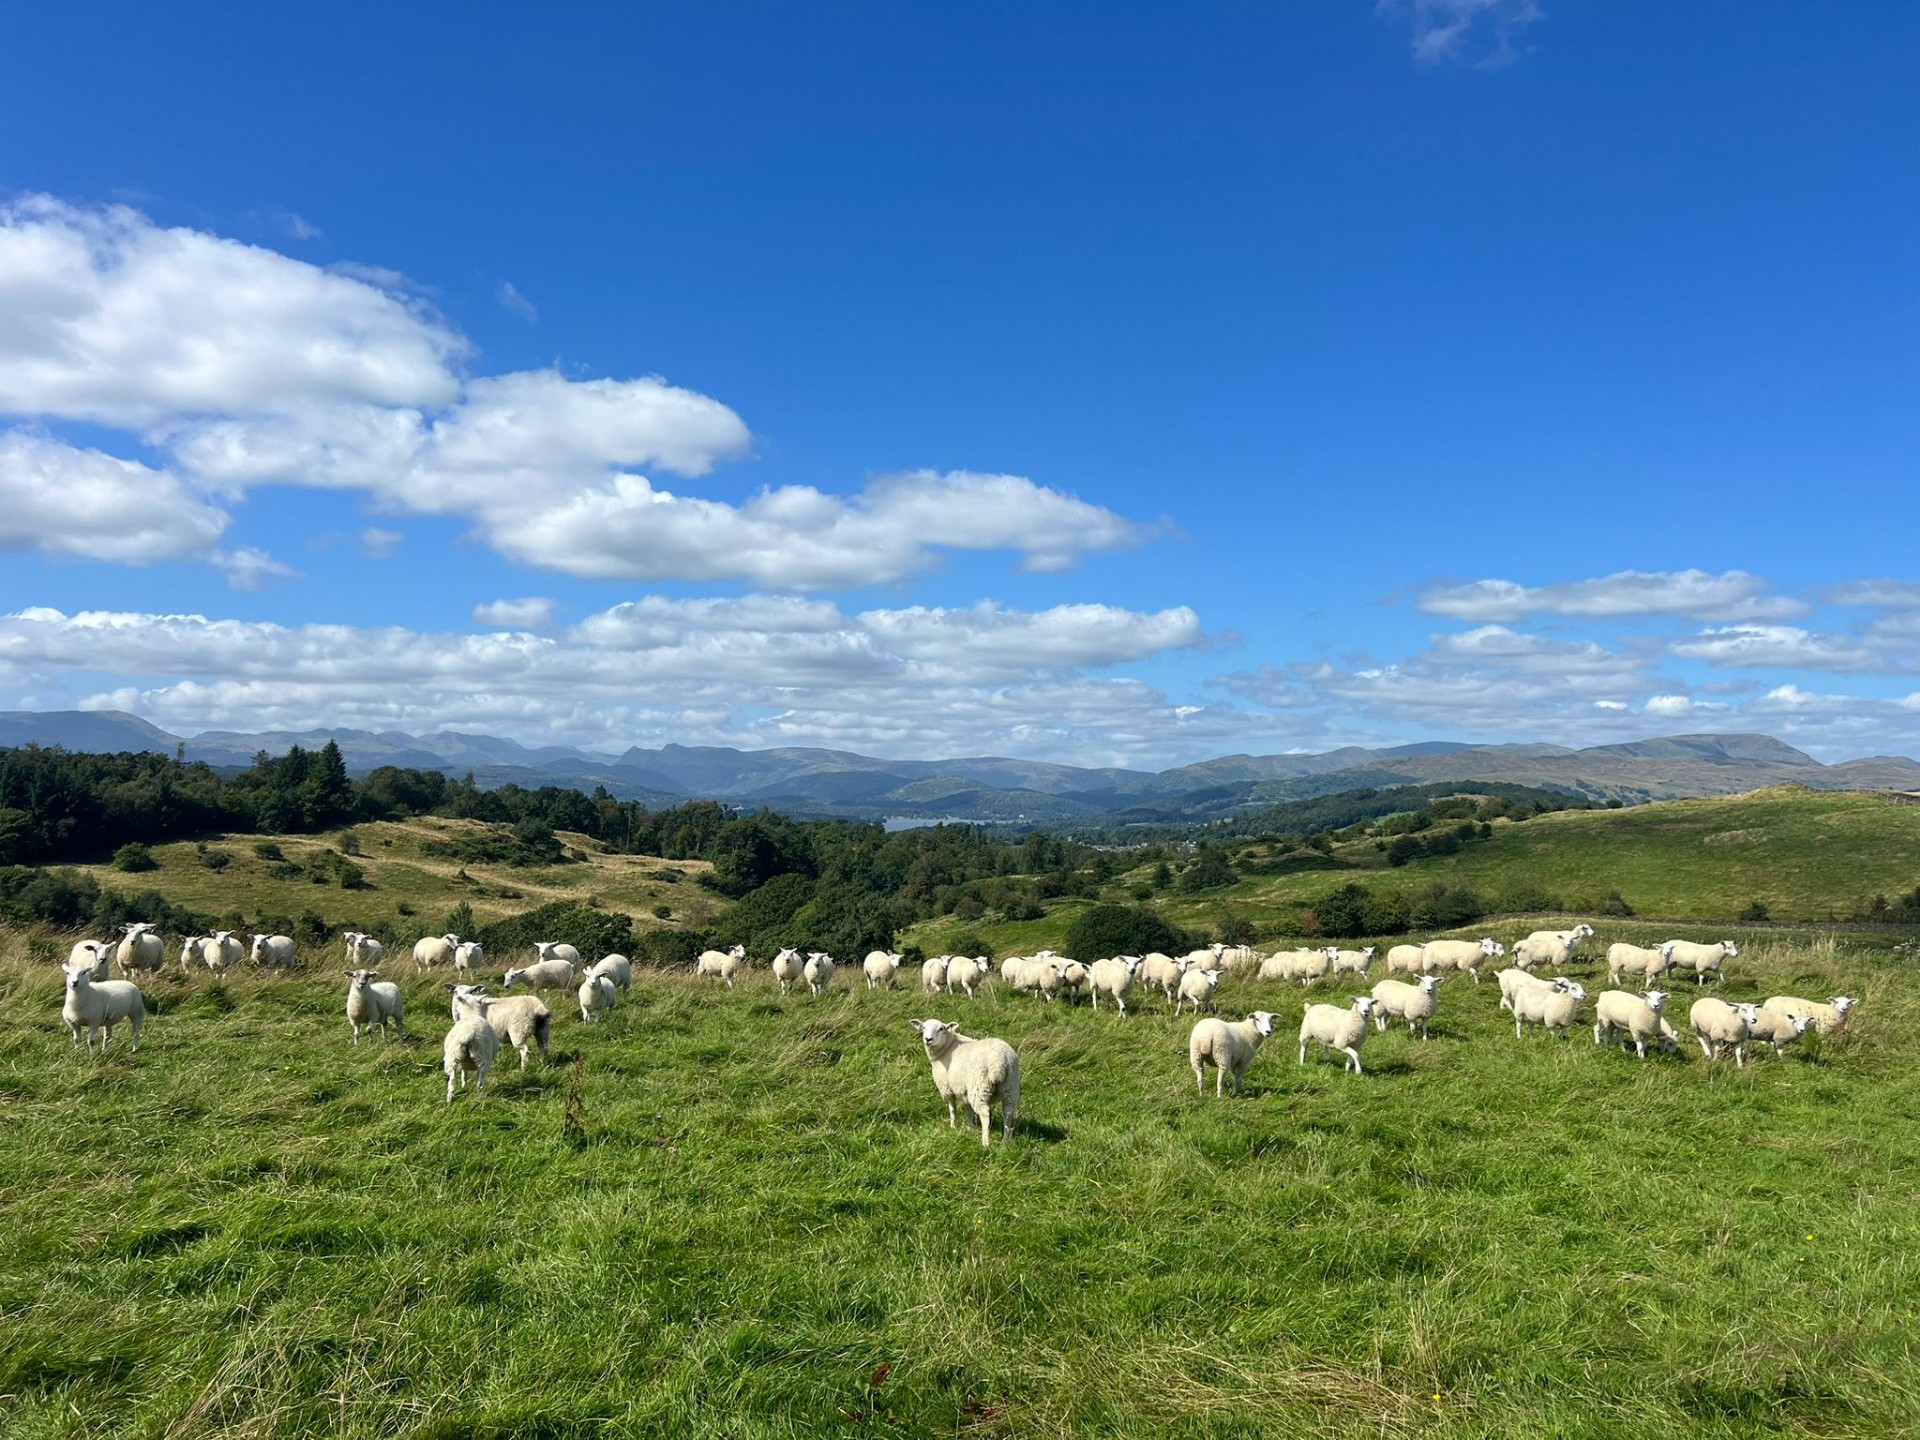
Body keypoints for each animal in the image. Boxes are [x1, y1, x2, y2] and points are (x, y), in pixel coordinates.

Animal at [910, 1021, 1021, 1159]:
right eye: (923, 1027)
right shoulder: (964, 1090)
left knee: (985, 1113)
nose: (928, 1039)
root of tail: (999, 1061)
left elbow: (952, 1109)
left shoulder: (947, 1088)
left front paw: (953, 1126)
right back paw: (1005, 1141)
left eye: (941, 1028)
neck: (947, 1046)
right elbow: (968, 1110)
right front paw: (970, 1128)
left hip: (979, 1087)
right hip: (1011, 1087)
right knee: (1008, 1112)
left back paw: (985, 1143)